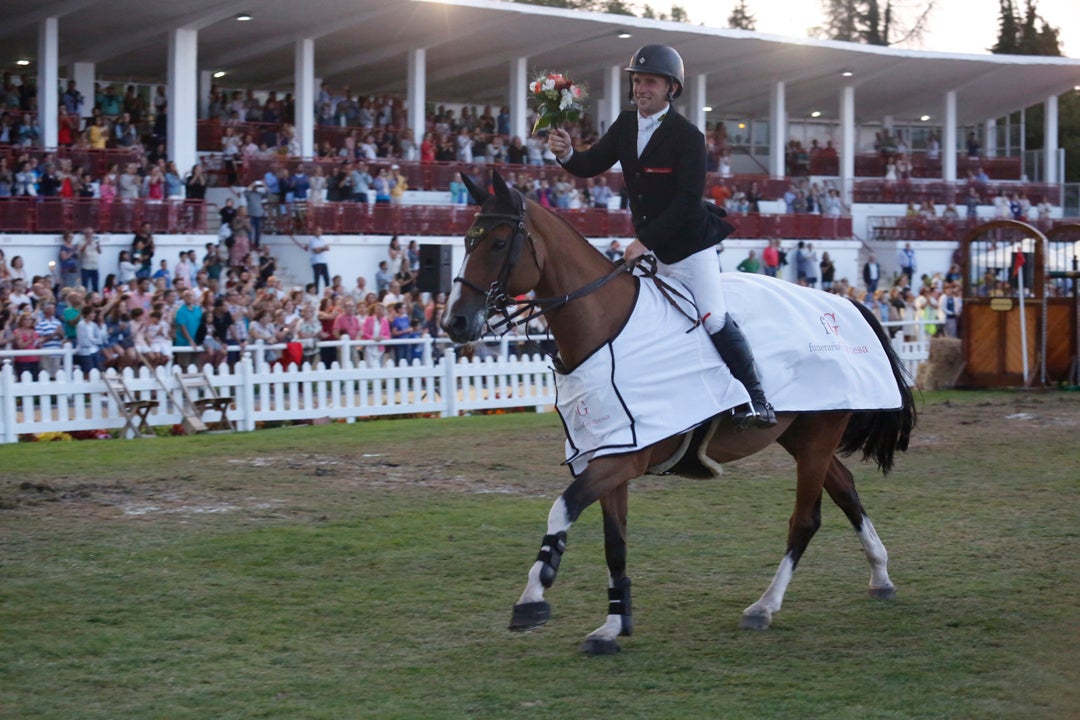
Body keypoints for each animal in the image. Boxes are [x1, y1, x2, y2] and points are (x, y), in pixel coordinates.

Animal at [442, 171, 915, 656]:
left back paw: (764, 606)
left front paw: (533, 596)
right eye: (466, 240)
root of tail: (844, 303)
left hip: (821, 429)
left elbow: (563, 508)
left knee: (806, 518)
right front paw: (613, 625)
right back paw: (880, 575)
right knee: (845, 488)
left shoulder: (625, 458)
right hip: (800, 432)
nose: (454, 322)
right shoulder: (609, 452)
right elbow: (615, 543)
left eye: (498, 243)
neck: (603, 327)